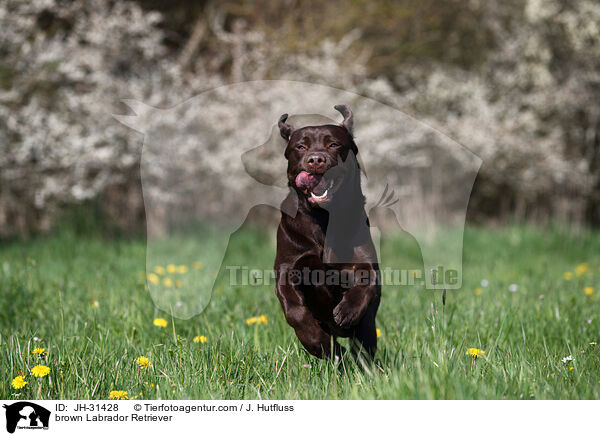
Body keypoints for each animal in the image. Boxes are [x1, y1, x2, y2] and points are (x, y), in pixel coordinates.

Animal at [274, 104, 380, 360]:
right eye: (300, 146)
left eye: (333, 144)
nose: (315, 159)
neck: (323, 217)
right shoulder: (289, 269)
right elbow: (295, 311)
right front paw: (321, 345)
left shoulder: (362, 261)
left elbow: (366, 278)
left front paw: (347, 311)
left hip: (367, 329)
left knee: (365, 345)